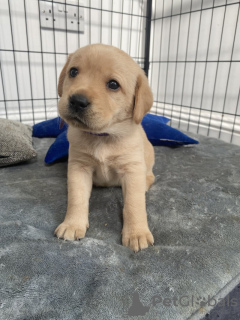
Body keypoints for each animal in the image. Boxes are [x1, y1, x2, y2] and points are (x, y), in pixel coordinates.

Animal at [54, 43, 155, 252]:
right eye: (73, 72)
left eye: (113, 84)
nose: (77, 100)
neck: (103, 136)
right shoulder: (78, 167)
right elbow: (76, 198)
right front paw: (72, 224)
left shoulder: (132, 169)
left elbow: (134, 204)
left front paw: (137, 233)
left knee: (150, 176)